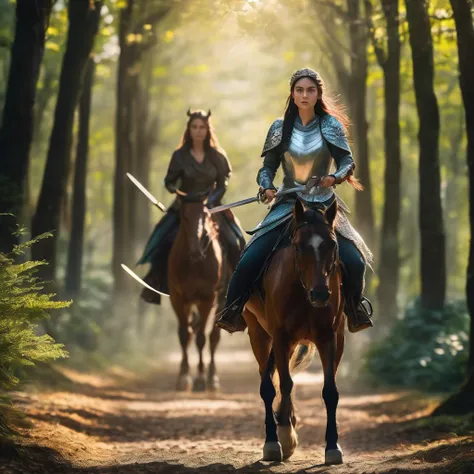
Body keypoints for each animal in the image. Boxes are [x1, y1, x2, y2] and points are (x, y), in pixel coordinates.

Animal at [168, 193, 224, 392]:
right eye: (183, 216)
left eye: (205, 215)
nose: (196, 250)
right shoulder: (178, 297)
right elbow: (185, 335)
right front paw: (184, 377)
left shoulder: (207, 298)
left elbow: (201, 338)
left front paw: (200, 378)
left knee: (213, 337)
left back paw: (212, 377)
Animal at [244, 198, 344, 464]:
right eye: (298, 247)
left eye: (333, 244)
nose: (320, 294)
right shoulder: (280, 337)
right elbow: (285, 384)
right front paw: (285, 438)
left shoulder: (327, 337)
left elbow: (330, 390)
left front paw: (333, 446)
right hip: (258, 333)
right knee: (268, 385)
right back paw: (273, 440)